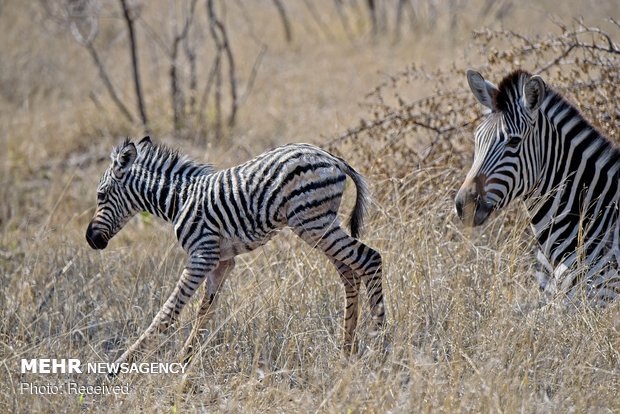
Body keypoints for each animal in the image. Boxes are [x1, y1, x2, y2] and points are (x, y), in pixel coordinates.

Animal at [85, 137, 386, 368]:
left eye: (101, 195)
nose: (91, 239)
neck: (179, 200)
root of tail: (331, 157)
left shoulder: (202, 255)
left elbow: (169, 312)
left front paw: (121, 366)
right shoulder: (222, 261)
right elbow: (205, 312)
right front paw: (184, 361)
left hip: (313, 223)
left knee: (369, 259)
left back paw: (380, 343)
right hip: (321, 225)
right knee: (349, 273)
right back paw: (346, 350)